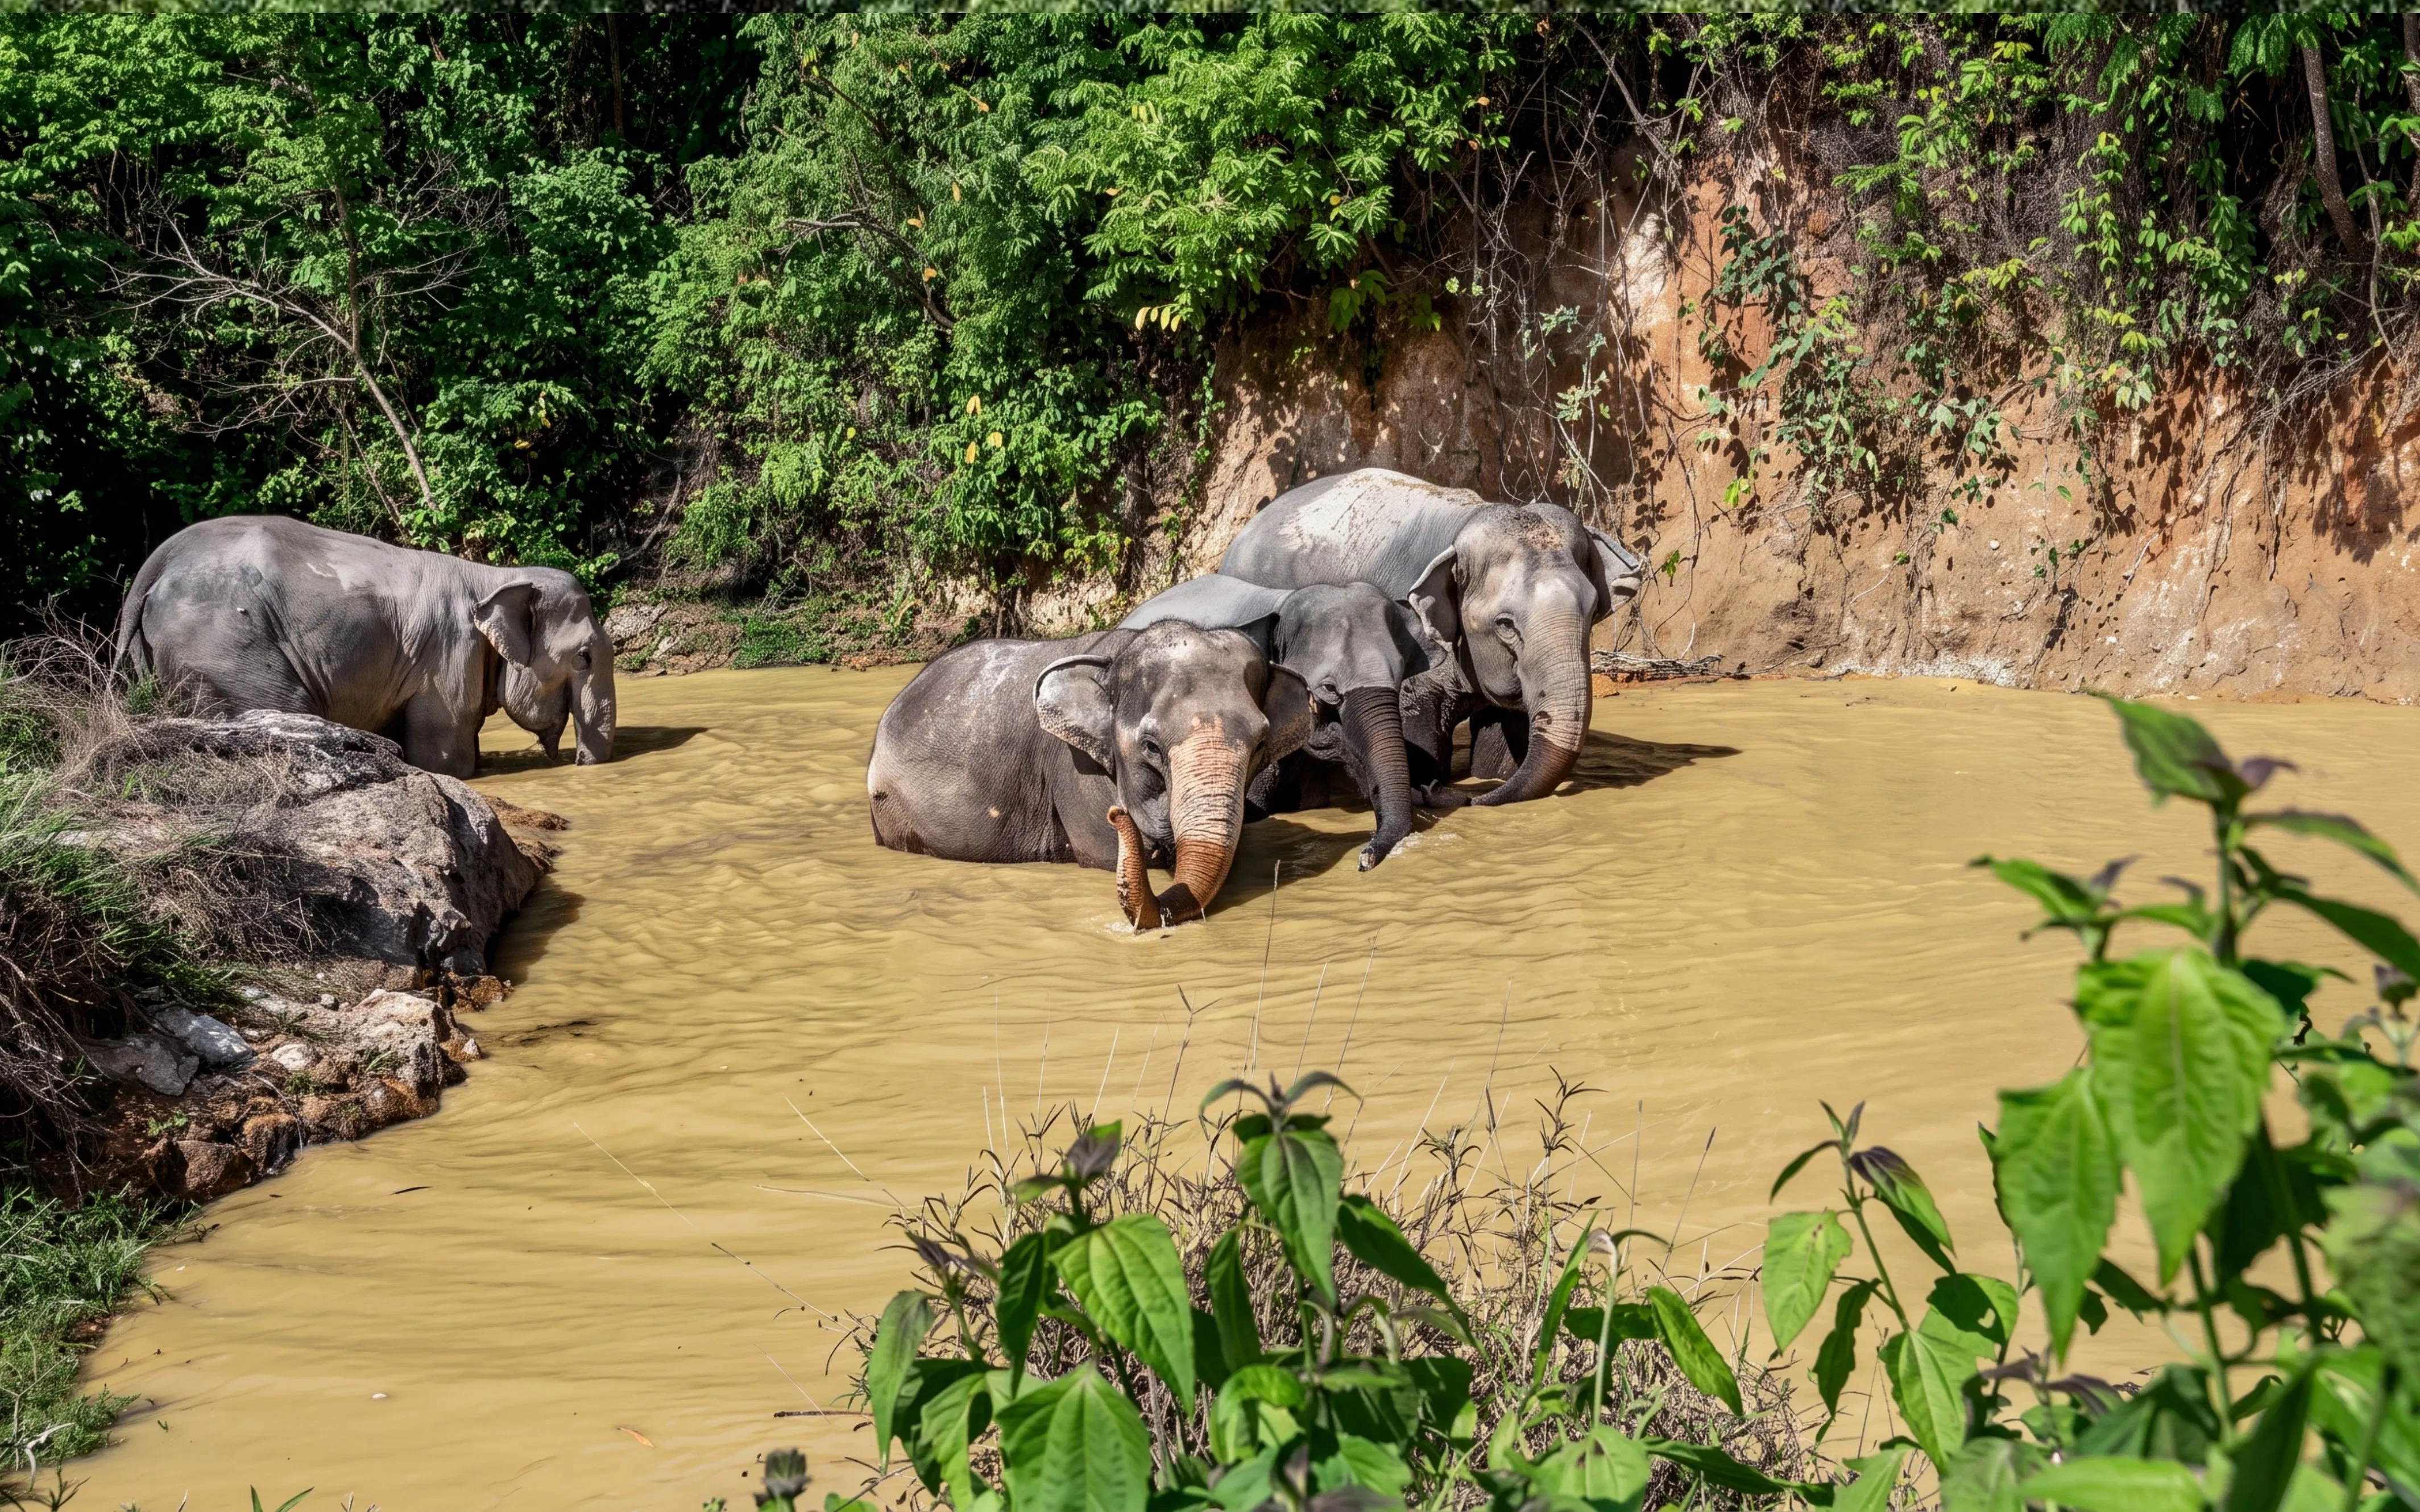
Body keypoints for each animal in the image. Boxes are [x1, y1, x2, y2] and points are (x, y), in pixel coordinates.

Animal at [113, 514, 616, 778]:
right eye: (584, 657)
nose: (581, 763)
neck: (494, 576)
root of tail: (156, 566)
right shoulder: (448, 657)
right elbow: (445, 756)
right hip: (223, 650)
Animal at [1220, 467, 1644, 806]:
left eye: (1593, 611)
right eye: (1506, 625)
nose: (1472, 800)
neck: (1466, 522)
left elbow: (1503, 748)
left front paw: (1491, 778)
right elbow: (1421, 738)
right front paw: (1431, 780)